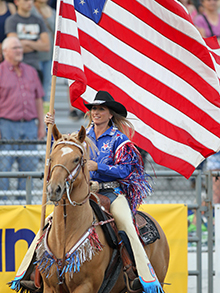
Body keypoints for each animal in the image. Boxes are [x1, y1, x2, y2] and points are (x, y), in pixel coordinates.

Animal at [37, 124, 169, 292]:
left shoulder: (85, 285)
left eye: (76, 159)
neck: (65, 236)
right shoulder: (50, 286)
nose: (54, 189)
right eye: (52, 157)